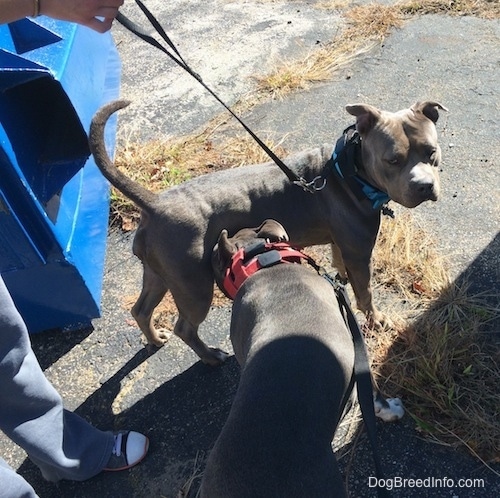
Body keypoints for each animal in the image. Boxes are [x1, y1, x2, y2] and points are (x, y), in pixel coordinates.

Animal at [89, 100, 446, 366]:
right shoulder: (361, 254)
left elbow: (341, 264)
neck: (350, 171)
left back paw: (153, 338)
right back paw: (211, 356)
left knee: (141, 309)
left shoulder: (342, 243)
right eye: (393, 160)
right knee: (185, 327)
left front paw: (340, 277)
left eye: (431, 151)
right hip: (194, 286)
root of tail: (154, 203)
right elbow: (366, 293)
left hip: (160, 273)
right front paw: (376, 319)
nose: (424, 186)